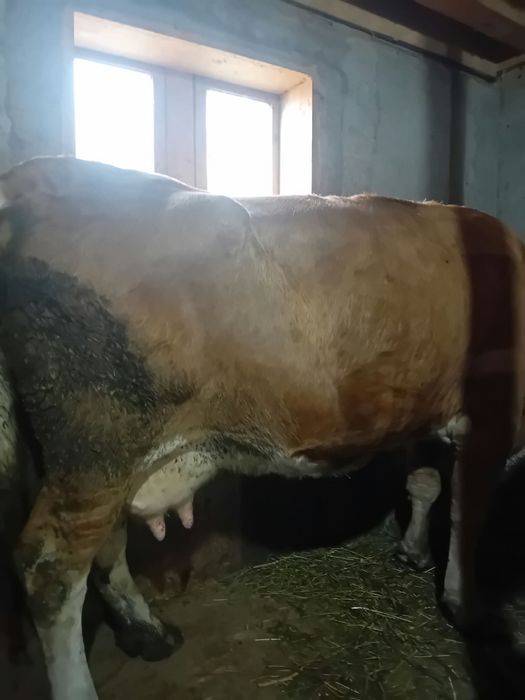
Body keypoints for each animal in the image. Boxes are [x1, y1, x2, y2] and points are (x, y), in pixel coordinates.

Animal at [0, 156, 523, 700]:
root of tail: (38, 174)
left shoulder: (421, 411)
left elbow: (425, 486)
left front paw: (413, 551)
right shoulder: (491, 416)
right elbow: (467, 514)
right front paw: (464, 603)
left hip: (93, 454)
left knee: (105, 544)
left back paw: (149, 630)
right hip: (97, 440)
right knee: (50, 570)